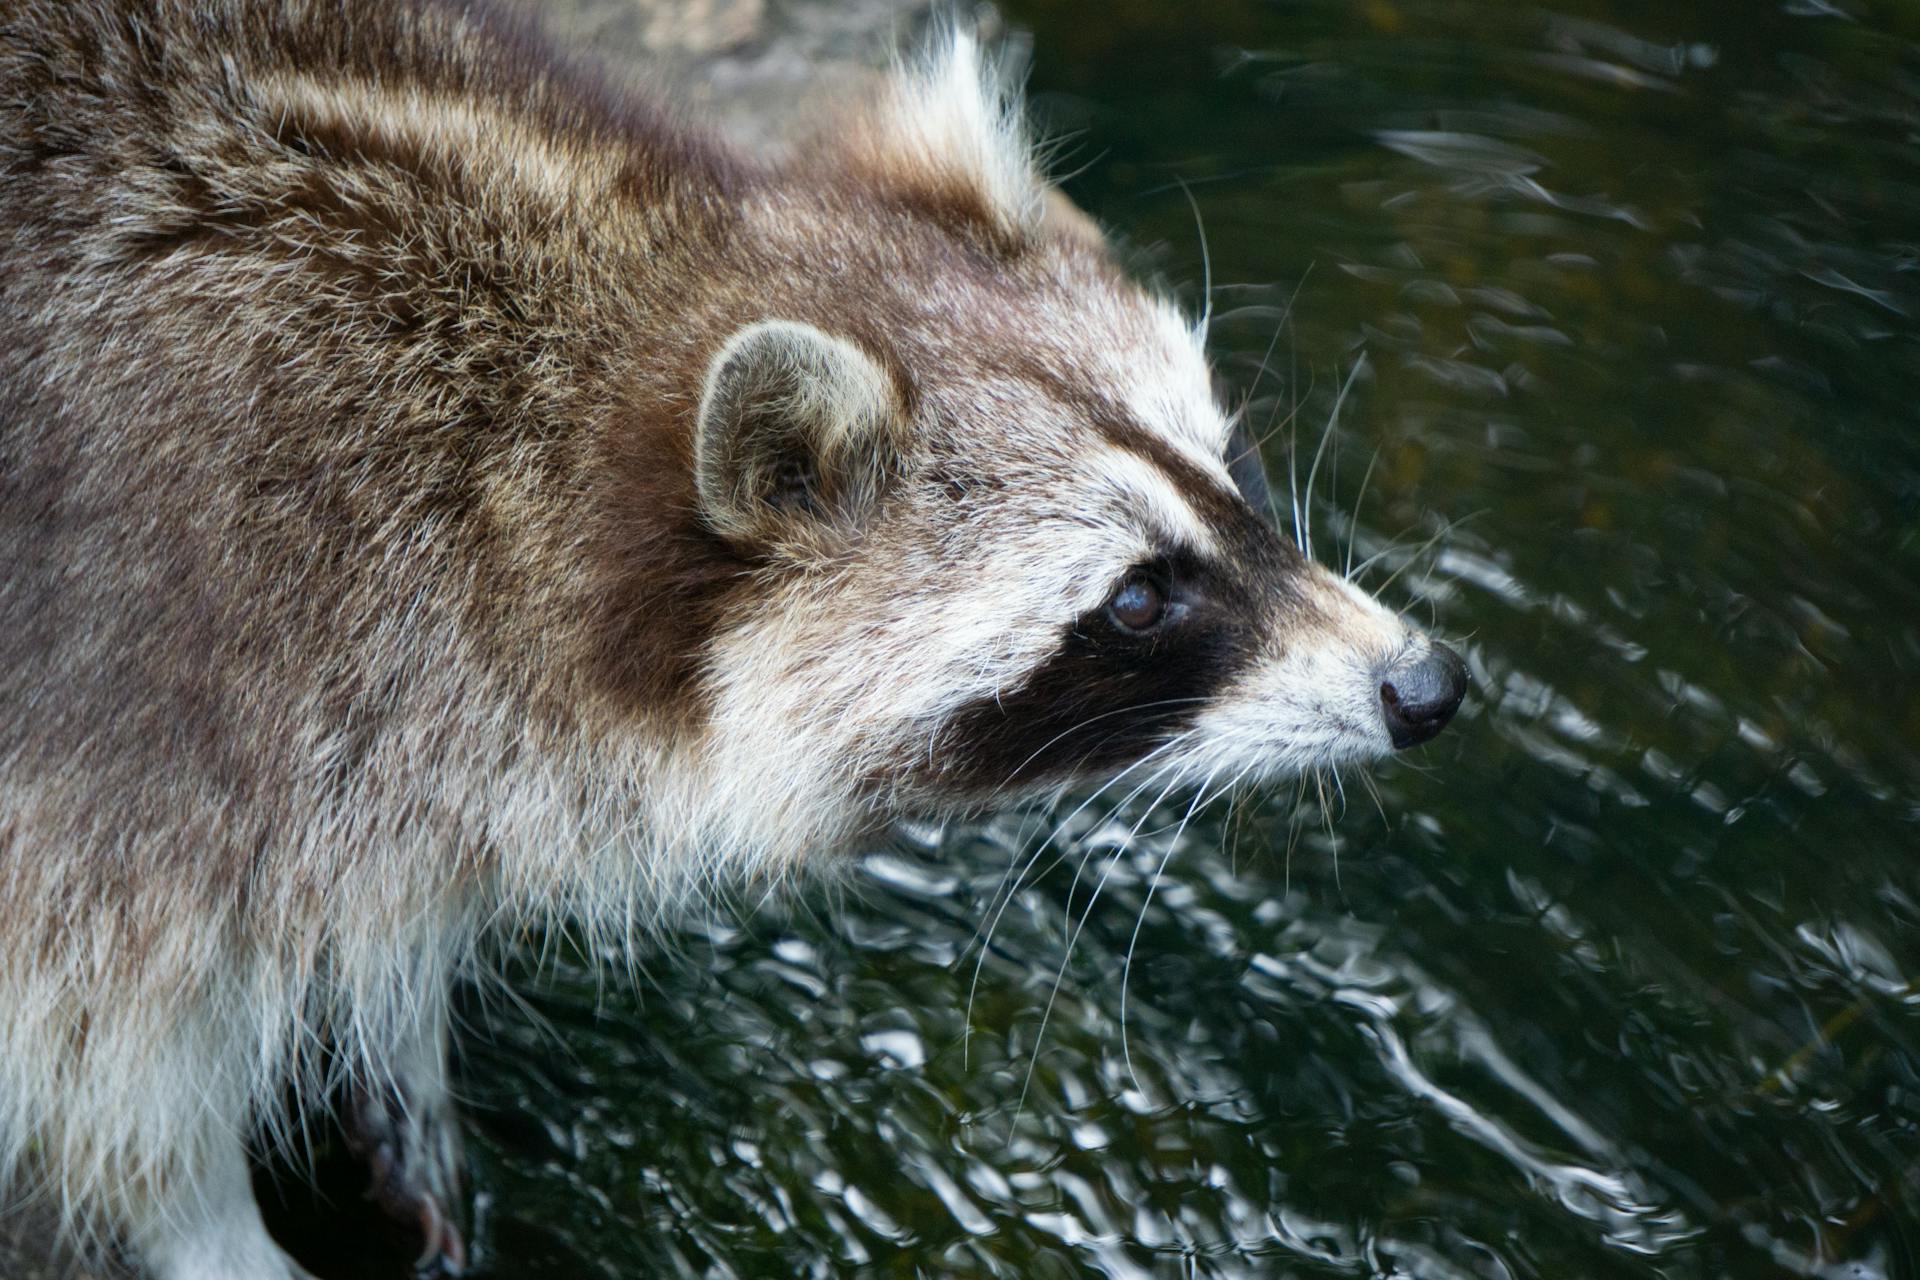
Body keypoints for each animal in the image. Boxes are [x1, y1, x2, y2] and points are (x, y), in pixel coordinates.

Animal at [0, 5, 1466, 1274]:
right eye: (1139, 600)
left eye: (1237, 468)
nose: (1428, 685)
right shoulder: (156, 685)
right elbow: (112, 1080)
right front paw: (213, 1231)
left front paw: (397, 1048)